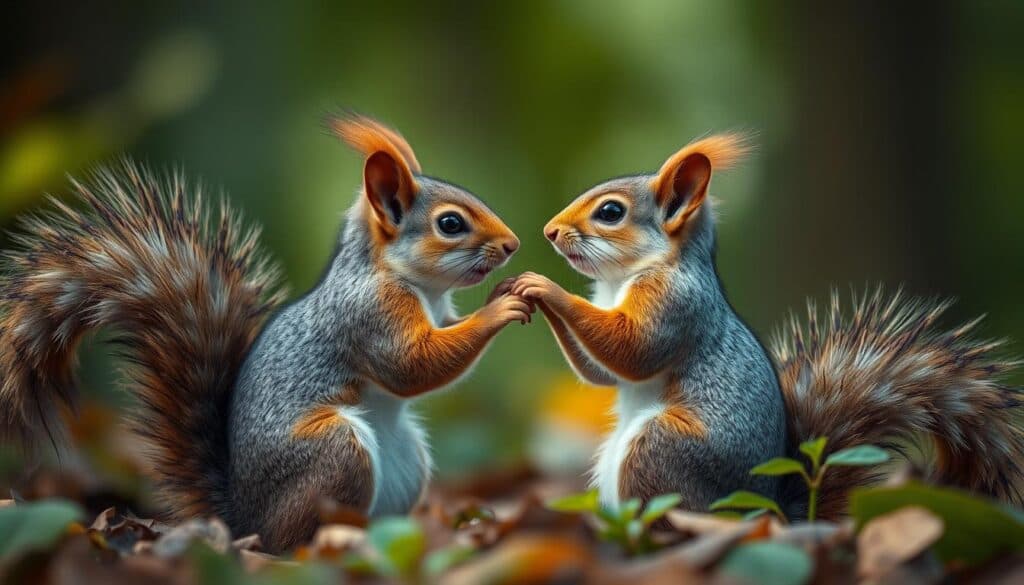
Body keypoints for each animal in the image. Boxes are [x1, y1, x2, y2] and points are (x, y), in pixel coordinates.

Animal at [0, 114, 531, 552]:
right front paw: (499, 308)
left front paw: (506, 289)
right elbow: (411, 365)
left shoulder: (436, 313)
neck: (413, 282)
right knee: (290, 542)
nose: (513, 244)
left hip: (408, 462)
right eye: (450, 223)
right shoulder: (370, 312)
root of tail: (243, 521)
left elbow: (440, 344)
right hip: (334, 453)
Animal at [511, 133, 1024, 519]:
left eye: (611, 212)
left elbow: (634, 349)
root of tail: (768, 509)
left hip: (660, 452)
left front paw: (546, 288)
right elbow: (602, 372)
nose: (549, 232)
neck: (621, 280)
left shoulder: (677, 302)